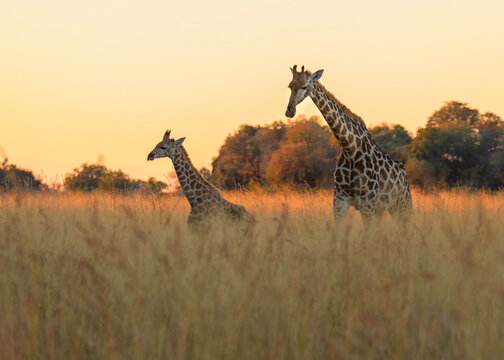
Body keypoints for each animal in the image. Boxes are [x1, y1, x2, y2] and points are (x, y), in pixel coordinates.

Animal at [286, 65, 412, 222]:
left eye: (304, 86)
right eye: (290, 86)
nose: (290, 111)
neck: (350, 148)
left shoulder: (368, 204)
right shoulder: (340, 201)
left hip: (402, 205)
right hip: (384, 209)